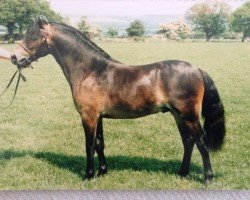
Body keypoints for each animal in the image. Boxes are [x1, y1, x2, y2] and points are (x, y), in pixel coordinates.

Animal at [11, 17, 226, 183]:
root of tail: (196, 69)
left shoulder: (88, 116)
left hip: (189, 116)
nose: (14, 58)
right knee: (188, 142)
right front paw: (102, 172)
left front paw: (88, 175)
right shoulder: (98, 117)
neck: (90, 71)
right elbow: (99, 144)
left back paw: (208, 177)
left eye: (33, 36)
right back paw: (182, 173)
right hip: (178, 116)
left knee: (201, 143)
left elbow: (89, 146)